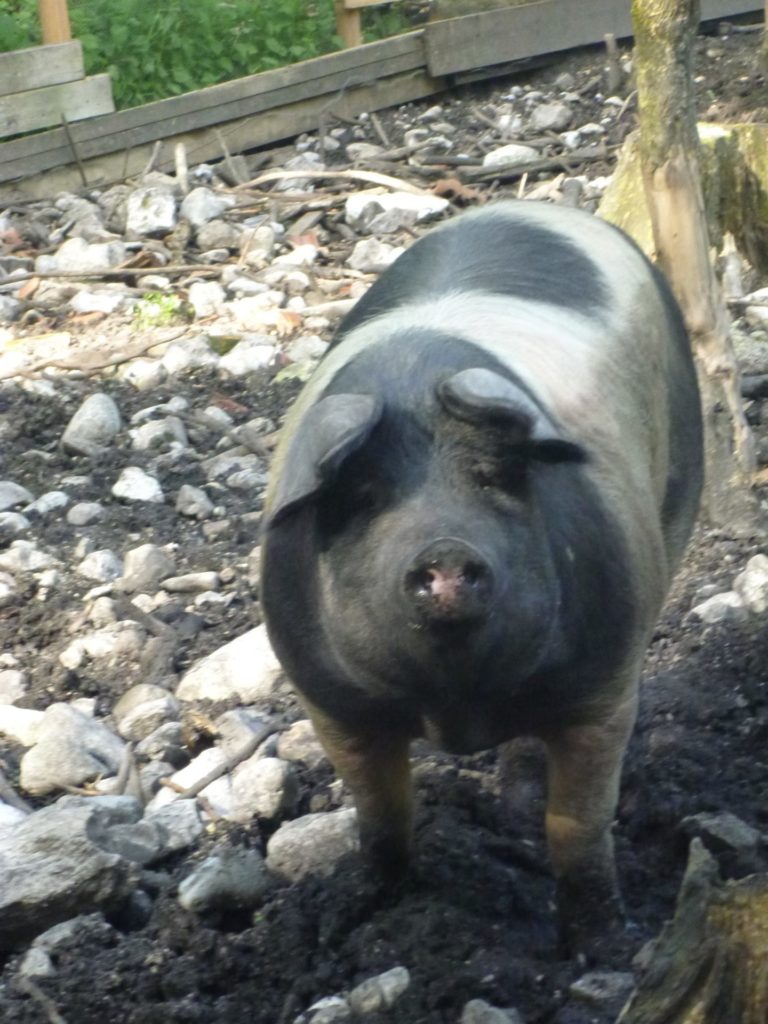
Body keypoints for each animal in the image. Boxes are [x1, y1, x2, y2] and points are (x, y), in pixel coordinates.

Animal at [262, 199, 708, 950]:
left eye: (494, 477)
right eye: (364, 496)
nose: (444, 549)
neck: (456, 703)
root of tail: (534, 203)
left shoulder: (603, 686)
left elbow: (578, 824)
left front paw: (605, 945)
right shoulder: (330, 703)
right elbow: (380, 816)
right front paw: (357, 916)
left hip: (679, 485)